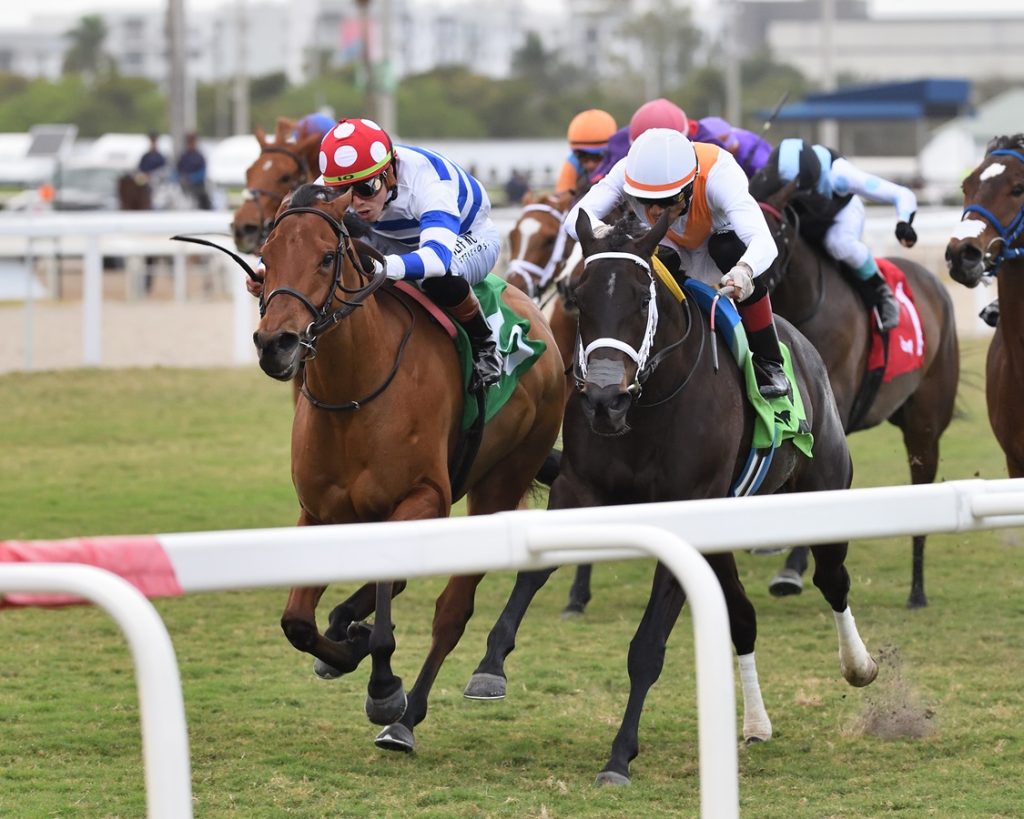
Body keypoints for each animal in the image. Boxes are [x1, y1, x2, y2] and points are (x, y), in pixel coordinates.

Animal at [250, 184, 565, 753]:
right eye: (266, 256)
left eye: (326, 257)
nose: (274, 344)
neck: (354, 391)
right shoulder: (318, 512)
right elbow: (297, 623)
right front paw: (344, 644)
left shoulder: (423, 499)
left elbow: (385, 624)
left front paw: (383, 687)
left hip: (501, 482)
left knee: (451, 612)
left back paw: (413, 713)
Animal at [464, 207, 872, 782]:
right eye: (578, 297)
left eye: (641, 299)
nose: (604, 400)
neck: (651, 406)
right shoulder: (579, 488)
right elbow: (533, 574)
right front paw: (489, 666)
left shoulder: (684, 514)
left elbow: (648, 646)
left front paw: (619, 756)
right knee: (743, 618)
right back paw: (756, 723)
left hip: (824, 489)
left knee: (833, 579)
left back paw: (859, 665)